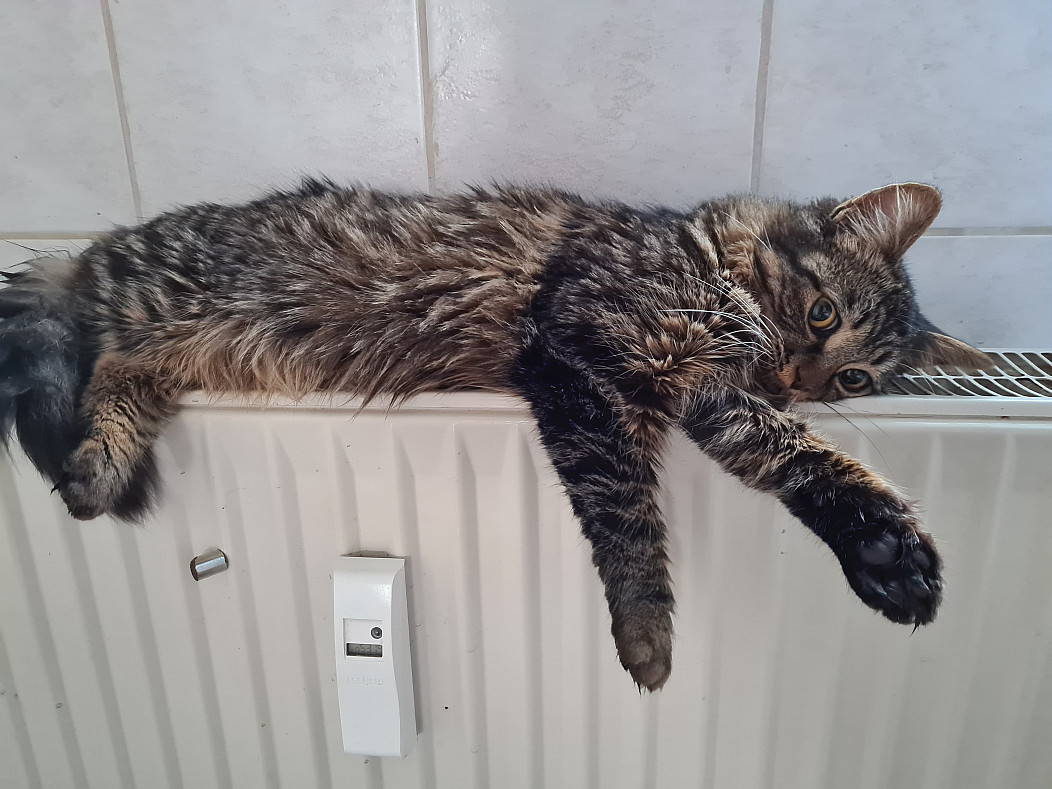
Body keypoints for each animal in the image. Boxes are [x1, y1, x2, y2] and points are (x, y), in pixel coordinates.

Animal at [0, 179, 988, 691]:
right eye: (822, 315)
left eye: (856, 379)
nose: (801, 379)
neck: (704, 267)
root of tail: (91, 248)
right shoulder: (580, 360)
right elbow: (630, 522)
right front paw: (647, 637)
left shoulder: (704, 396)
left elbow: (805, 462)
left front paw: (886, 552)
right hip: (149, 312)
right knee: (93, 361)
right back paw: (89, 466)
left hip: (168, 355)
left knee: (119, 378)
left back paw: (97, 468)